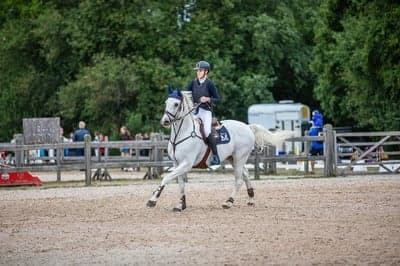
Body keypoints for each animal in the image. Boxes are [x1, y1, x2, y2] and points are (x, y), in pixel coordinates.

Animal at [147, 88, 278, 211]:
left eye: (176, 104)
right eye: (166, 102)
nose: (165, 121)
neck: (183, 133)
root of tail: (247, 127)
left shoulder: (186, 164)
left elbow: (166, 178)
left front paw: (152, 200)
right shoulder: (177, 163)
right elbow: (181, 184)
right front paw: (181, 205)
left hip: (239, 157)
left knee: (239, 180)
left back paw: (228, 202)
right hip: (232, 158)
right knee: (245, 174)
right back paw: (250, 199)